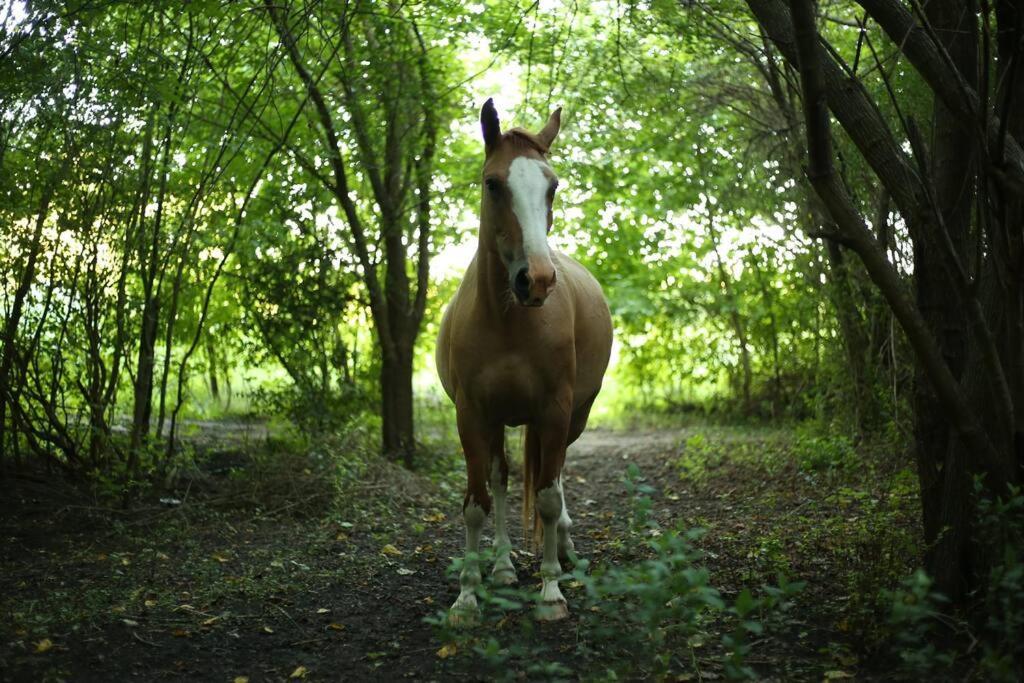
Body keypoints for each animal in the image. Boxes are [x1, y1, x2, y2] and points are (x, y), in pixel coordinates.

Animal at [436, 98, 610, 622]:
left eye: (551, 186)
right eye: (493, 183)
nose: (536, 280)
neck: (509, 324)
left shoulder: (555, 411)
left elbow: (549, 499)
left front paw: (551, 592)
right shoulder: (472, 416)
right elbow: (478, 502)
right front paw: (468, 596)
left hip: (573, 417)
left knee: (557, 477)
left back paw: (565, 548)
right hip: (497, 423)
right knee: (501, 481)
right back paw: (502, 567)